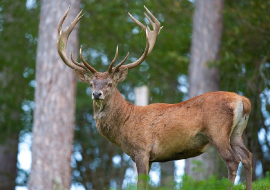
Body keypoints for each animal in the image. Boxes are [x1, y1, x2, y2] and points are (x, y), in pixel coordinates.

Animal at [56, 6, 253, 190]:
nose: (97, 94)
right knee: (248, 156)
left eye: (110, 83)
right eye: (91, 84)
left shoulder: (142, 150)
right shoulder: (150, 158)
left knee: (232, 160)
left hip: (217, 130)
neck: (125, 124)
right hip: (237, 133)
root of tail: (244, 101)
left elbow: (141, 184)